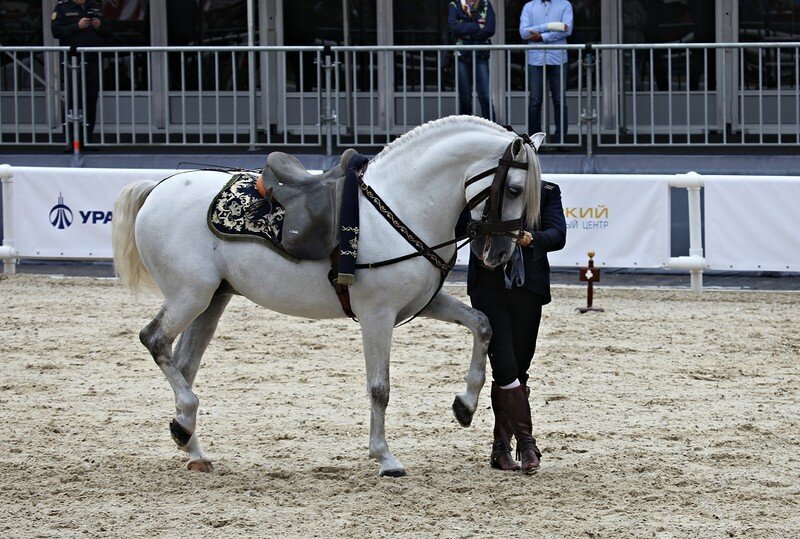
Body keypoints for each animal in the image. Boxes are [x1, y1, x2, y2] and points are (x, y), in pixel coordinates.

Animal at [111, 115, 544, 476]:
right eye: (515, 189)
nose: (500, 254)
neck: (402, 203)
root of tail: (158, 188)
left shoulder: (423, 303)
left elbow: (482, 325)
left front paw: (464, 405)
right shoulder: (377, 315)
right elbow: (380, 387)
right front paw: (385, 457)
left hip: (211, 301)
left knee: (183, 363)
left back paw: (191, 443)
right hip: (190, 296)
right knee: (154, 340)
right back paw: (186, 420)